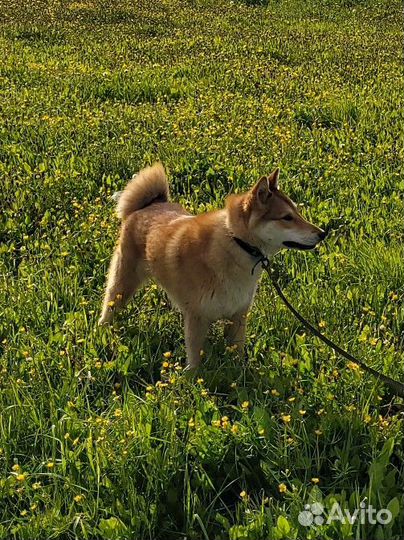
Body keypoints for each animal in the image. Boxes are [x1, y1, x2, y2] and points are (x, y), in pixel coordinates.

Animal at [99, 162, 326, 370]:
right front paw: (192, 382)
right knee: (109, 305)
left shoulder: (238, 315)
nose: (323, 233)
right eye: (287, 217)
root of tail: (147, 206)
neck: (237, 243)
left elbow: (236, 353)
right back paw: (102, 329)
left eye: (297, 212)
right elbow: (195, 361)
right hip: (123, 283)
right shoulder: (197, 318)